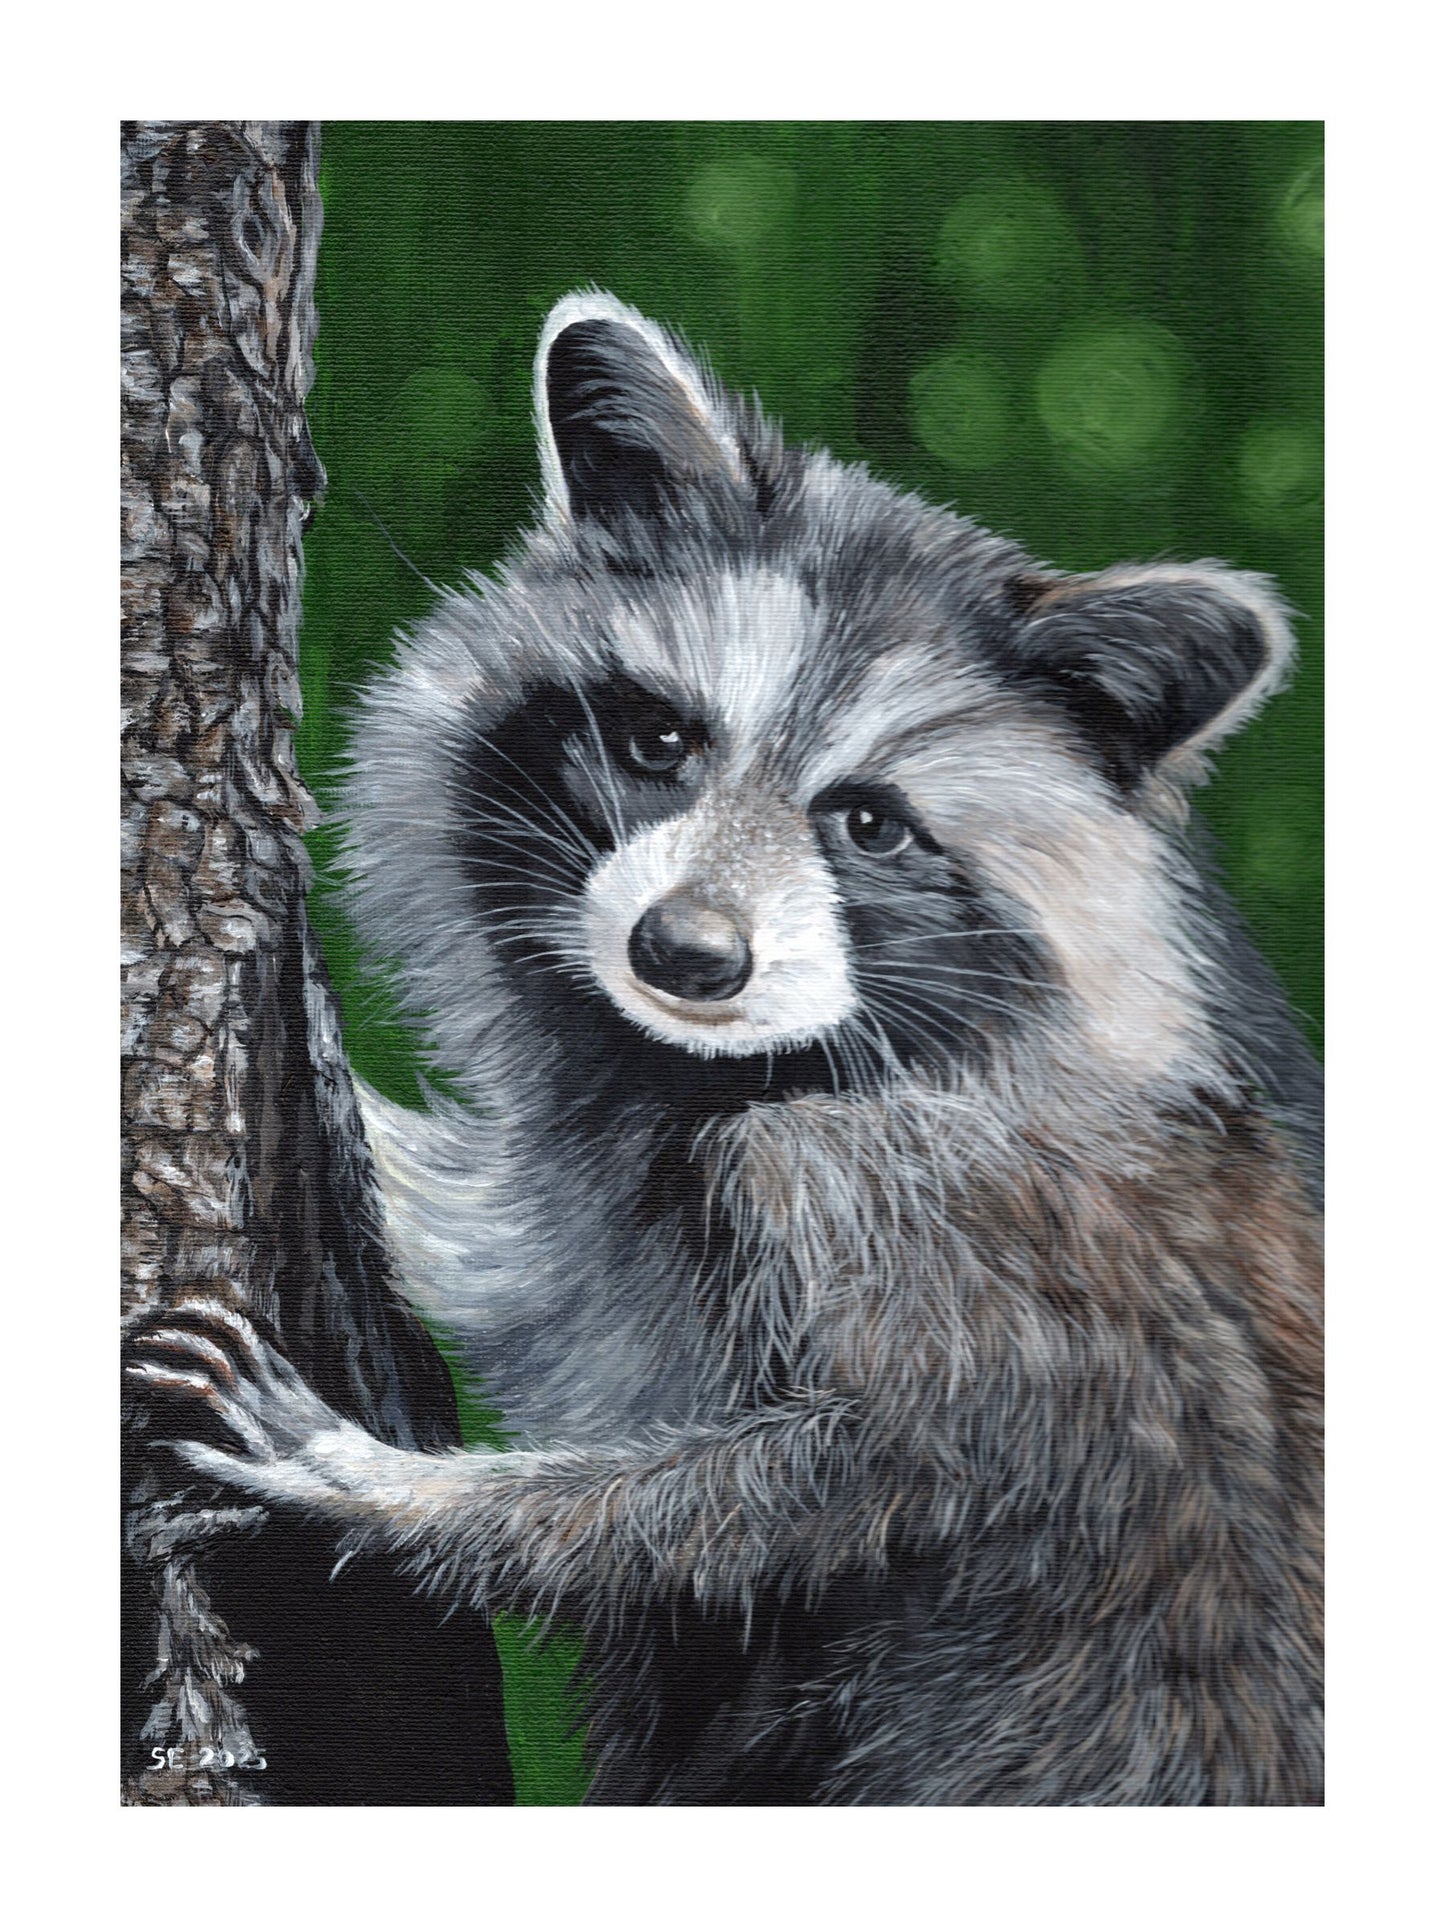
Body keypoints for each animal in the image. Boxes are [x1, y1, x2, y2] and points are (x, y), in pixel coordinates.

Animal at [131, 291, 1324, 1805]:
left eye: (868, 823)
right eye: (659, 738)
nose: (686, 955)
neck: (725, 1068)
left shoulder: (938, 1221)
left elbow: (827, 1484)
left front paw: (383, 1484)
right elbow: (528, 1259)